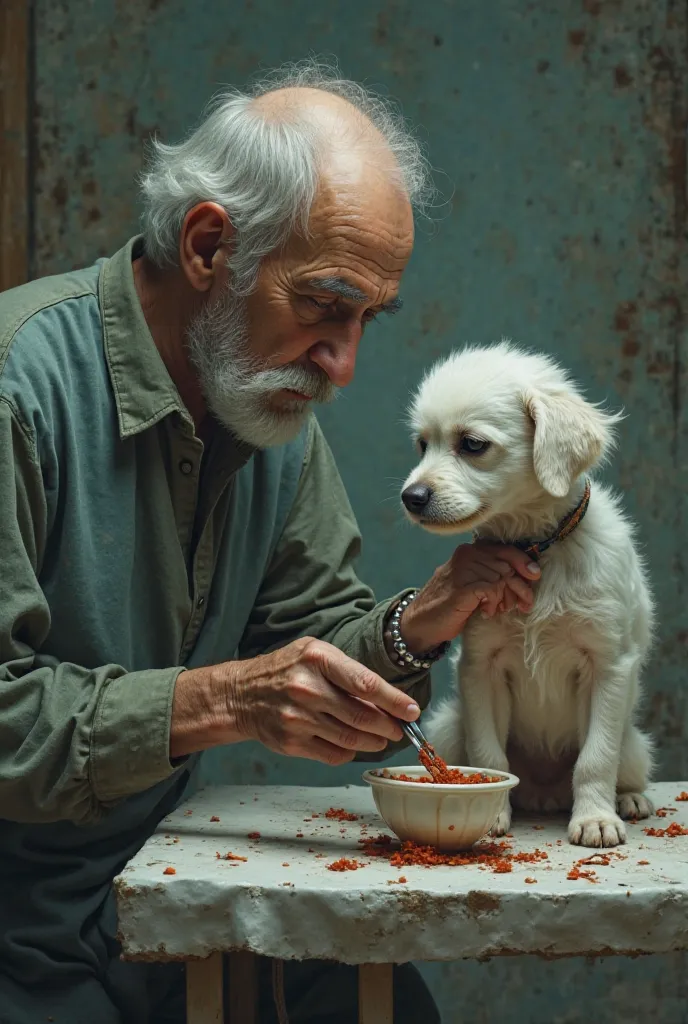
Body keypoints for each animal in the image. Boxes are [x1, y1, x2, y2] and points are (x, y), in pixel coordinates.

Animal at [403, 344, 655, 847]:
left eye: (472, 444)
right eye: (423, 444)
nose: (411, 497)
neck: (535, 550)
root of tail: (544, 794)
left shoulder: (609, 664)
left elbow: (596, 759)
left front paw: (594, 819)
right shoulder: (481, 665)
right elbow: (489, 758)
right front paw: (491, 813)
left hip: (635, 744)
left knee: (622, 768)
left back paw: (629, 801)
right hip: (448, 724)